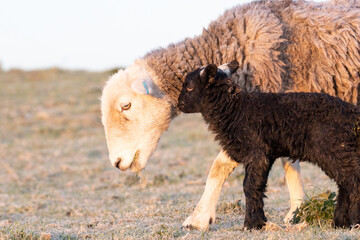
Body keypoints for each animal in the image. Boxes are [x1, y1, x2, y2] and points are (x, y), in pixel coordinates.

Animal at [179, 61, 360, 230]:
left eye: (189, 87)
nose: (180, 103)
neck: (235, 108)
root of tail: (353, 113)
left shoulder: (257, 154)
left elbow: (251, 186)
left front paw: (252, 224)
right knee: (345, 183)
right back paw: (340, 222)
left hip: (335, 149)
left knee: (352, 181)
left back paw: (352, 221)